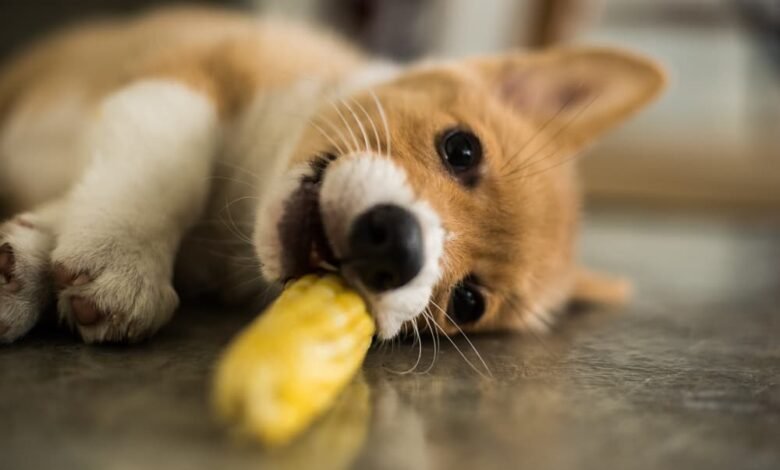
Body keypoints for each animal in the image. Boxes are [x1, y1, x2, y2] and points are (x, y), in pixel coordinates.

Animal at [0, 6, 668, 346]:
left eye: (469, 300)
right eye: (461, 149)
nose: (398, 249)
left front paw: (29, 259)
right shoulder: (193, 71)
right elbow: (169, 162)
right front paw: (124, 257)